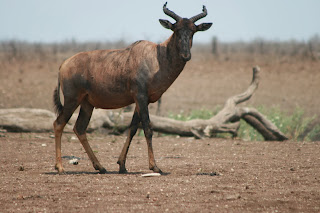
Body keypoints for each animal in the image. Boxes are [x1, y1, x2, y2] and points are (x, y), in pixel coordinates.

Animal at [52, 2, 212, 174]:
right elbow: (148, 128)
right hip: (72, 100)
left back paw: (100, 167)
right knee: (59, 124)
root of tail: (63, 65)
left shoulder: (141, 100)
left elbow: (133, 128)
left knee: (80, 128)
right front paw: (155, 166)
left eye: (193, 31)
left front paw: (122, 165)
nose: (185, 55)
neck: (156, 57)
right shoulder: (141, 97)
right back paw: (60, 167)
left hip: (87, 104)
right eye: (175, 29)